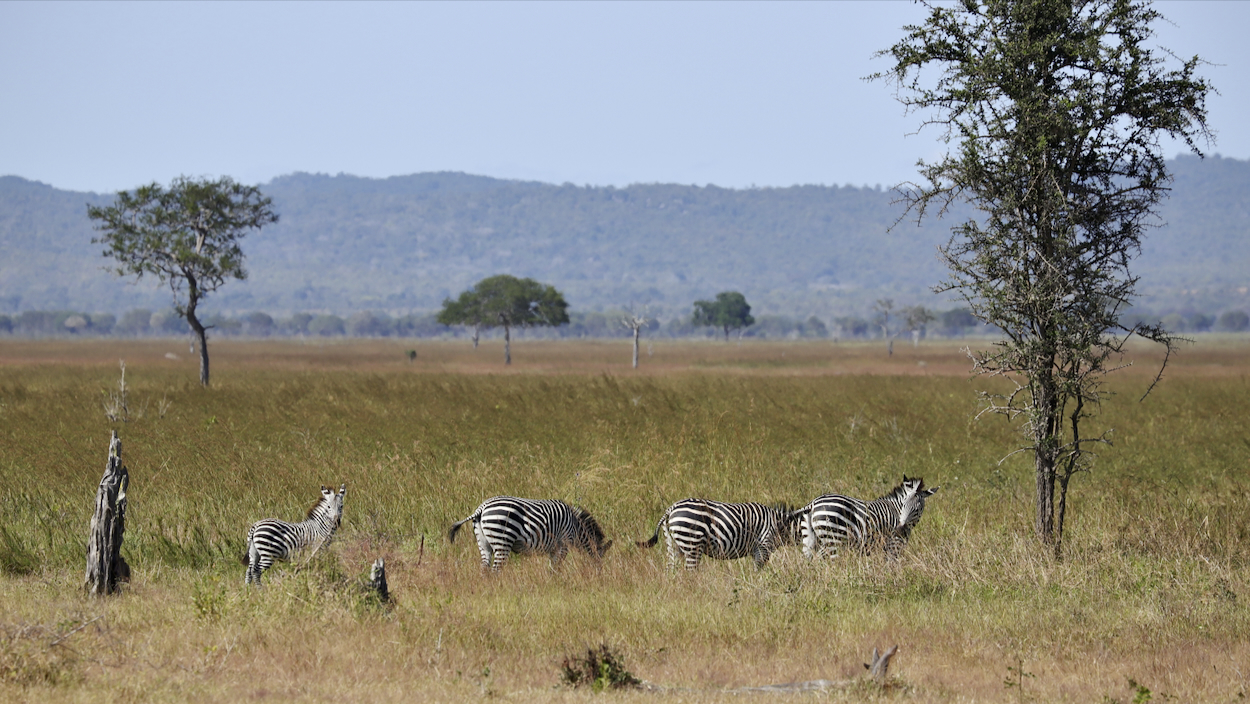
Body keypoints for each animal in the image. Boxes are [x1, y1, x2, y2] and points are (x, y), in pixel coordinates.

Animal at [447, 495, 612, 572]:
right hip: (503, 540)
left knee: (484, 569)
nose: (600, 578)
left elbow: (552, 566)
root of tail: (481, 509)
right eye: (600, 562)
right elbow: (557, 566)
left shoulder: (554, 548)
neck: (576, 527)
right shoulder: (564, 543)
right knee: (495, 570)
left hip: (484, 543)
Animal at [635, 497, 800, 570]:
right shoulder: (763, 547)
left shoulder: (756, 550)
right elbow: (758, 571)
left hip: (673, 544)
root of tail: (671, 509)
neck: (778, 525)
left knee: (671, 569)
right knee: (690, 571)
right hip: (692, 543)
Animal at [795, 472, 935, 562]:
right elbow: (891, 565)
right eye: (903, 505)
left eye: (917, 509)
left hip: (811, 540)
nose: (900, 530)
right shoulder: (893, 544)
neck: (896, 510)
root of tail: (812, 504)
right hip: (834, 539)